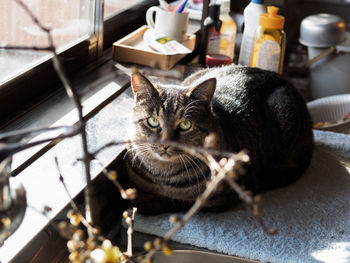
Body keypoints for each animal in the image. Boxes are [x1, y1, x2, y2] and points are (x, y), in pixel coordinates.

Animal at [124, 65, 314, 216]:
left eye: (185, 124)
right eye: (153, 121)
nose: (165, 143)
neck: (161, 177)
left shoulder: (217, 199)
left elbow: (178, 202)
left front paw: (143, 205)